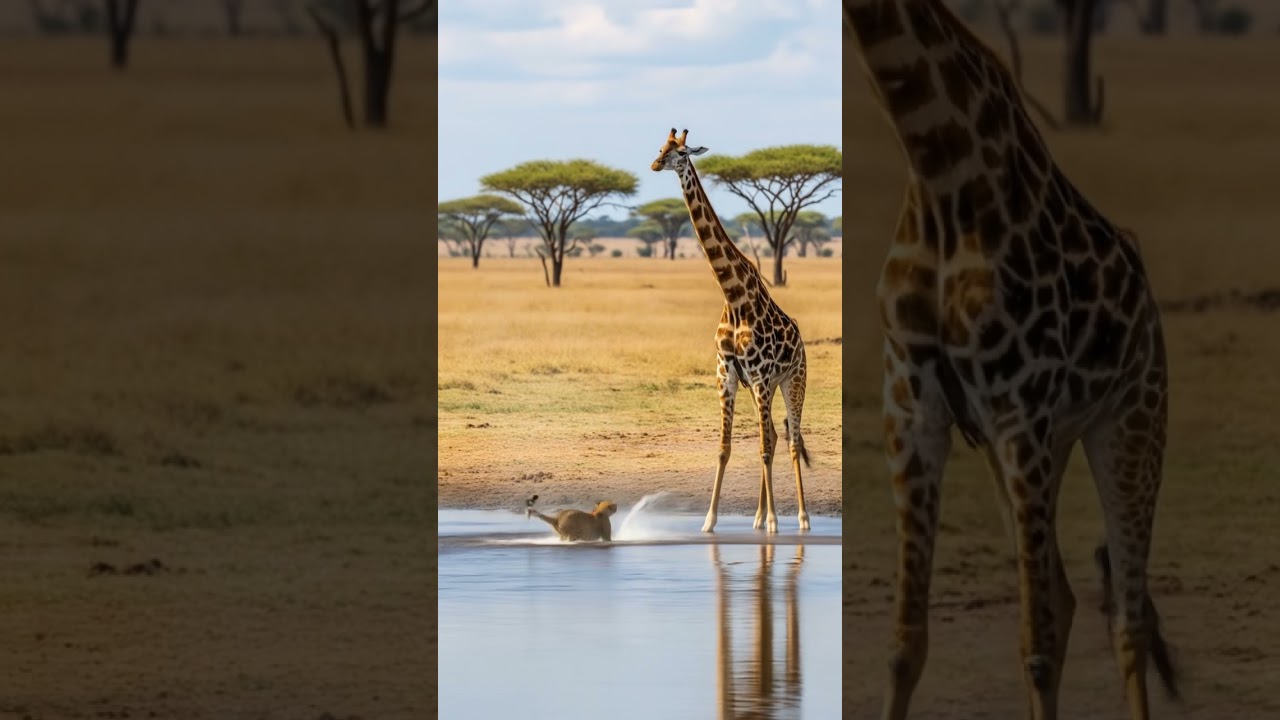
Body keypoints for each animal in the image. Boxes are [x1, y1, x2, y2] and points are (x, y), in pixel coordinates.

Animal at [651, 128, 810, 535]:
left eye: (680, 153)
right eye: (661, 147)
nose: (655, 164)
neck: (732, 294)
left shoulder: (761, 376)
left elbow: (765, 448)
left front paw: (775, 522)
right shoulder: (728, 375)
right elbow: (725, 448)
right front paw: (709, 521)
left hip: (792, 380)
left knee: (790, 440)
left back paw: (801, 519)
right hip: (762, 387)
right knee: (774, 435)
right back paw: (757, 517)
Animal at [843, 3, 1178, 719]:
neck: (937, 164)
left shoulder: (1021, 410)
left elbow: (1038, 647)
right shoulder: (913, 408)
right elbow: (905, 644)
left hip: (1132, 419)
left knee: (1128, 616)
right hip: (1031, 447)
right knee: (1068, 594)